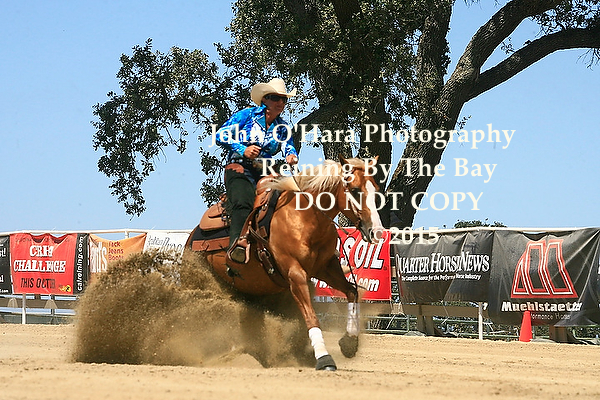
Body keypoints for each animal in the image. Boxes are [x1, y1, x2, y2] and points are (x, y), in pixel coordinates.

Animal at [187, 156, 384, 371]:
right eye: (355, 190)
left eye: (376, 190)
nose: (377, 232)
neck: (306, 218)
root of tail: (191, 237)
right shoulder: (295, 274)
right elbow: (311, 316)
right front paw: (324, 358)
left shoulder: (325, 268)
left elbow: (352, 291)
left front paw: (349, 342)